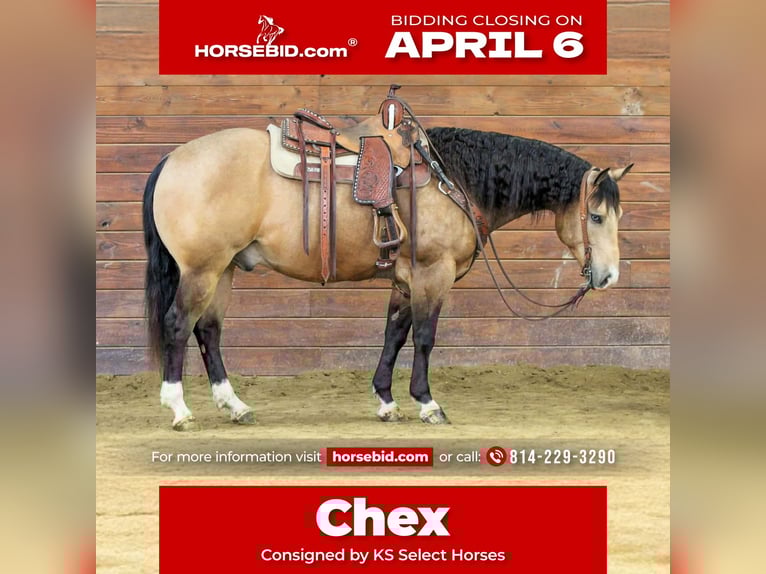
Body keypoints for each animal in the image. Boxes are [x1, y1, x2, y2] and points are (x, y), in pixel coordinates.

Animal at [142, 124, 632, 430]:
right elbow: (425, 337)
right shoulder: (433, 274)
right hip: (202, 269)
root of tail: (172, 157)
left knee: (208, 331)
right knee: (178, 326)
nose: (608, 276)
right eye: (596, 215)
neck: (452, 181)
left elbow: (394, 335)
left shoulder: (405, 280)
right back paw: (179, 409)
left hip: (224, 269)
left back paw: (235, 406)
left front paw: (386, 400)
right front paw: (428, 403)